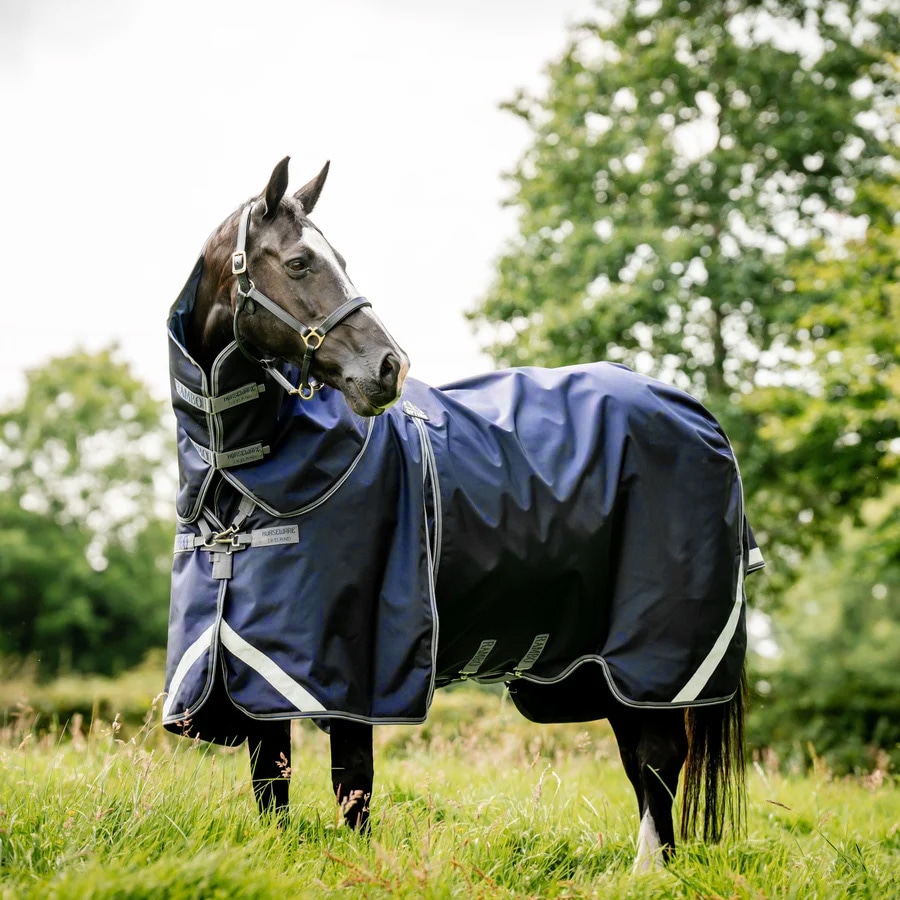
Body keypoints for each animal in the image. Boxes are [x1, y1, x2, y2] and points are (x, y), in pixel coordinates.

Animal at [163, 157, 763, 872]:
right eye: (301, 262)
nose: (389, 367)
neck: (241, 474)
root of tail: (694, 411)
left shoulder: (355, 673)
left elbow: (353, 788)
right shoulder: (257, 672)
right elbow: (271, 783)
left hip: (656, 651)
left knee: (657, 760)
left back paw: (648, 873)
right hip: (612, 671)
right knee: (643, 762)